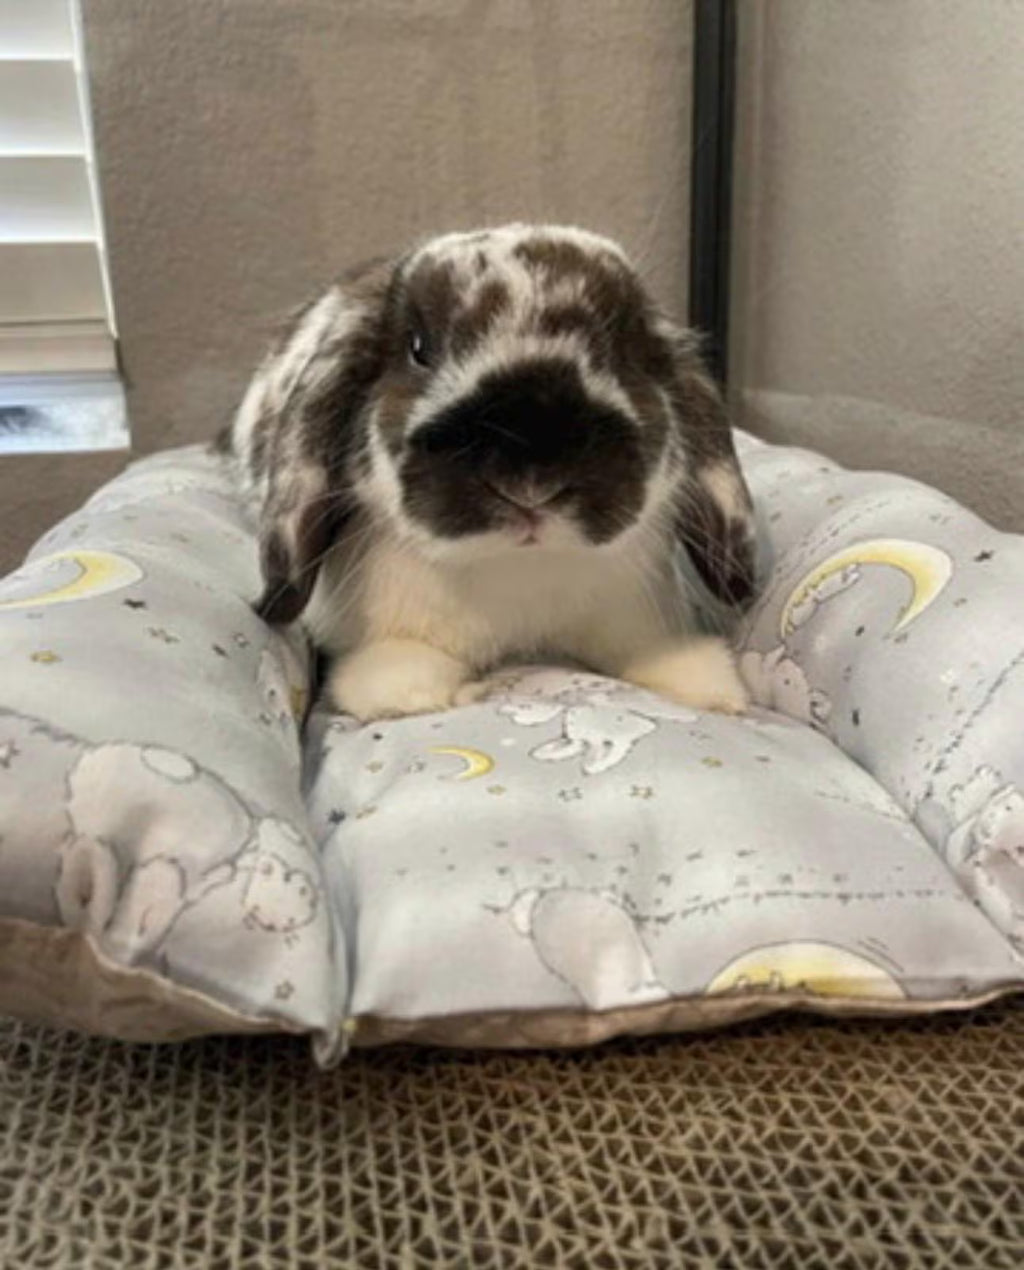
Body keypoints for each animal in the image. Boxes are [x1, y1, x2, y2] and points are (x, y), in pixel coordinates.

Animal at [219, 224, 759, 722]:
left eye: (620, 349)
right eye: (419, 348)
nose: (531, 482)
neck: (517, 570)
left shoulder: (630, 617)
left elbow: (650, 652)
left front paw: (710, 689)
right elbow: (402, 670)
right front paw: (420, 695)